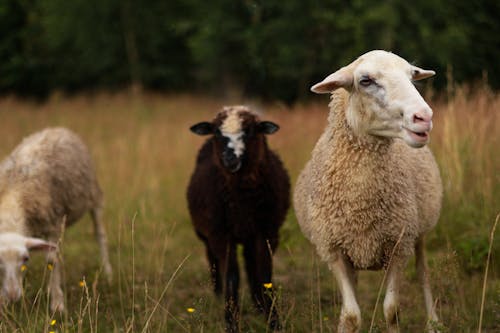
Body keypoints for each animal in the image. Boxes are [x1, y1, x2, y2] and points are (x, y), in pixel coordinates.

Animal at [0, 127, 112, 312]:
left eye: (25, 259)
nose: (12, 296)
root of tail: (57, 128)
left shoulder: (53, 224)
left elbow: (51, 261)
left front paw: (58, 303)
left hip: (94, 196)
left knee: (100, 234)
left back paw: (108, 271)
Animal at [187, 105, 290, 330]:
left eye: (250, 131)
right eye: (217, 132)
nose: (230, 159)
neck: (241, 199)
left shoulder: (268, 231)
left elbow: (264, 274)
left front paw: (273, 320)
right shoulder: (220, 233)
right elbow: (232, 276)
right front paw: (231, 321)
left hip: (250, 234)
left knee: (251, 263)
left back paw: (258, 303)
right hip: (206, 233)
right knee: (213, 259)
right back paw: (217, 294)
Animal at [294, 50, 444, 332]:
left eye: (412, 76)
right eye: (366, 81)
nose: (424, 117)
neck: (361, 206)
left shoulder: (398, 246)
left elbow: (391, 310)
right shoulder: (334, 250)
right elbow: (351, 315)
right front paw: (344, 325)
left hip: (418, 234)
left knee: (423, 273)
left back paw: (433, 323)